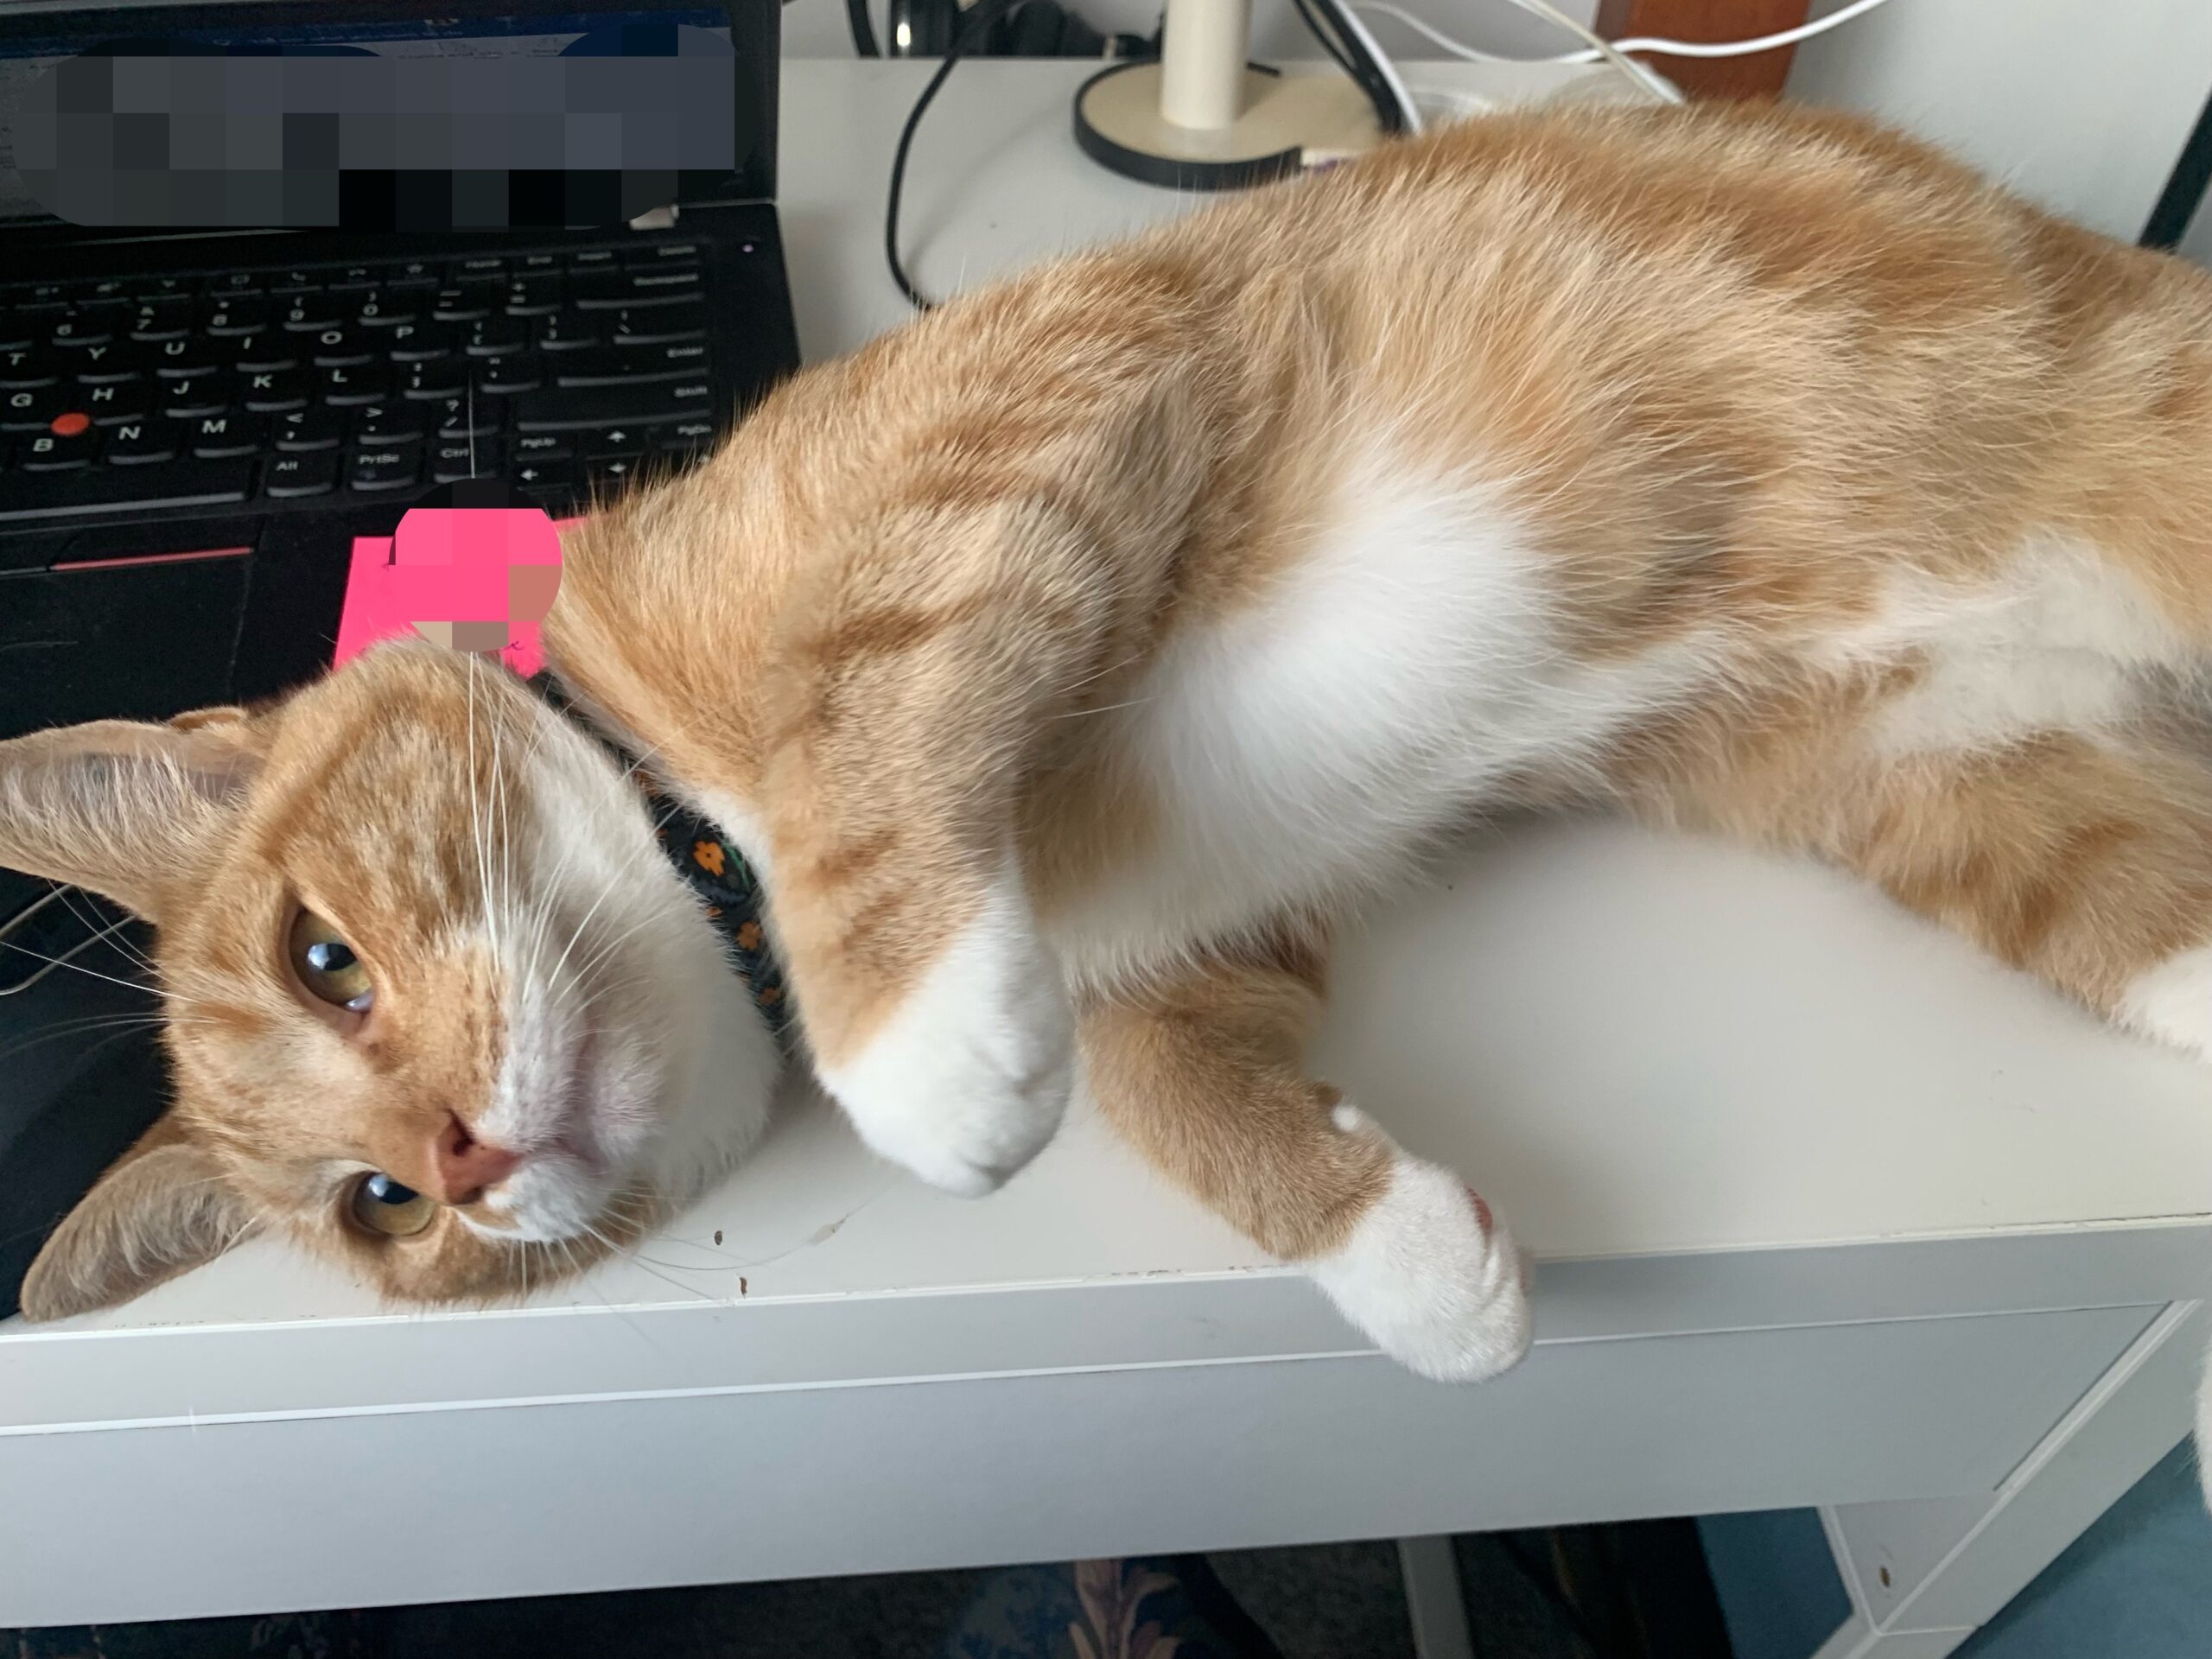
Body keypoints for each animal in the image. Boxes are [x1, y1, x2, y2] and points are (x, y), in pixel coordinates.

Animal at [5, 99, 2212, 1400]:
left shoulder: (1043, 389)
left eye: (324, 957)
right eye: (381, 1213)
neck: (702, 842)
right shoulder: (1201, 934)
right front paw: (1399, 1252)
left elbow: (865, 691)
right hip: (1943, 779)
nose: (461, 1158)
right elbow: (1180, 1081)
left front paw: (907, 1041)